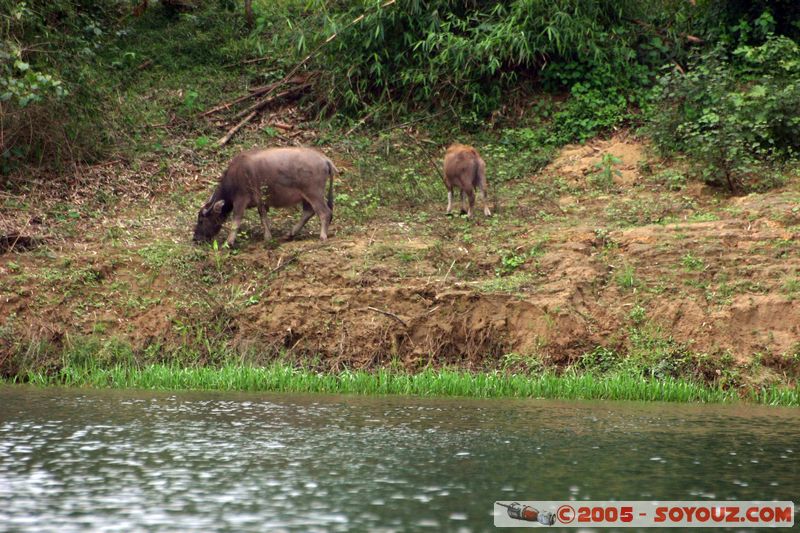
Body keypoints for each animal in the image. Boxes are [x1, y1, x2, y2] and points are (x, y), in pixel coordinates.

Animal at [193, 147, 336, 246]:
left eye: (201, 220)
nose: (196, 239)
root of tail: (325, 159)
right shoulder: (261, 201)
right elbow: (263, 217)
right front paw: (268, 237)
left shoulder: (241, 199)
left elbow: (237, 219)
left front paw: (229, 242)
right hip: (305, 196)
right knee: (308, 212)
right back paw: (290, 234)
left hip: (314, 193)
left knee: (325, 212)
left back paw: (323, 236)